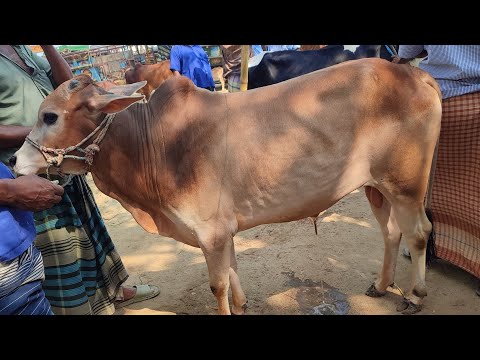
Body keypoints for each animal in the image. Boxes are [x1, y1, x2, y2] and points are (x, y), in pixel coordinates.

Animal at [12, 57, 442, 314]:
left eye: (50, 116)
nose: (14, 161)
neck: (153, 143)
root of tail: (413, 73)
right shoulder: (223, 231)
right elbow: (233, 270)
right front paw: (243, 302)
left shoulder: (210, 232)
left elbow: (217, 284)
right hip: (377, 187)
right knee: (391, 233)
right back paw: (382, 286)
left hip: (405, 185)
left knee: (419, 233)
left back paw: (416, 295)